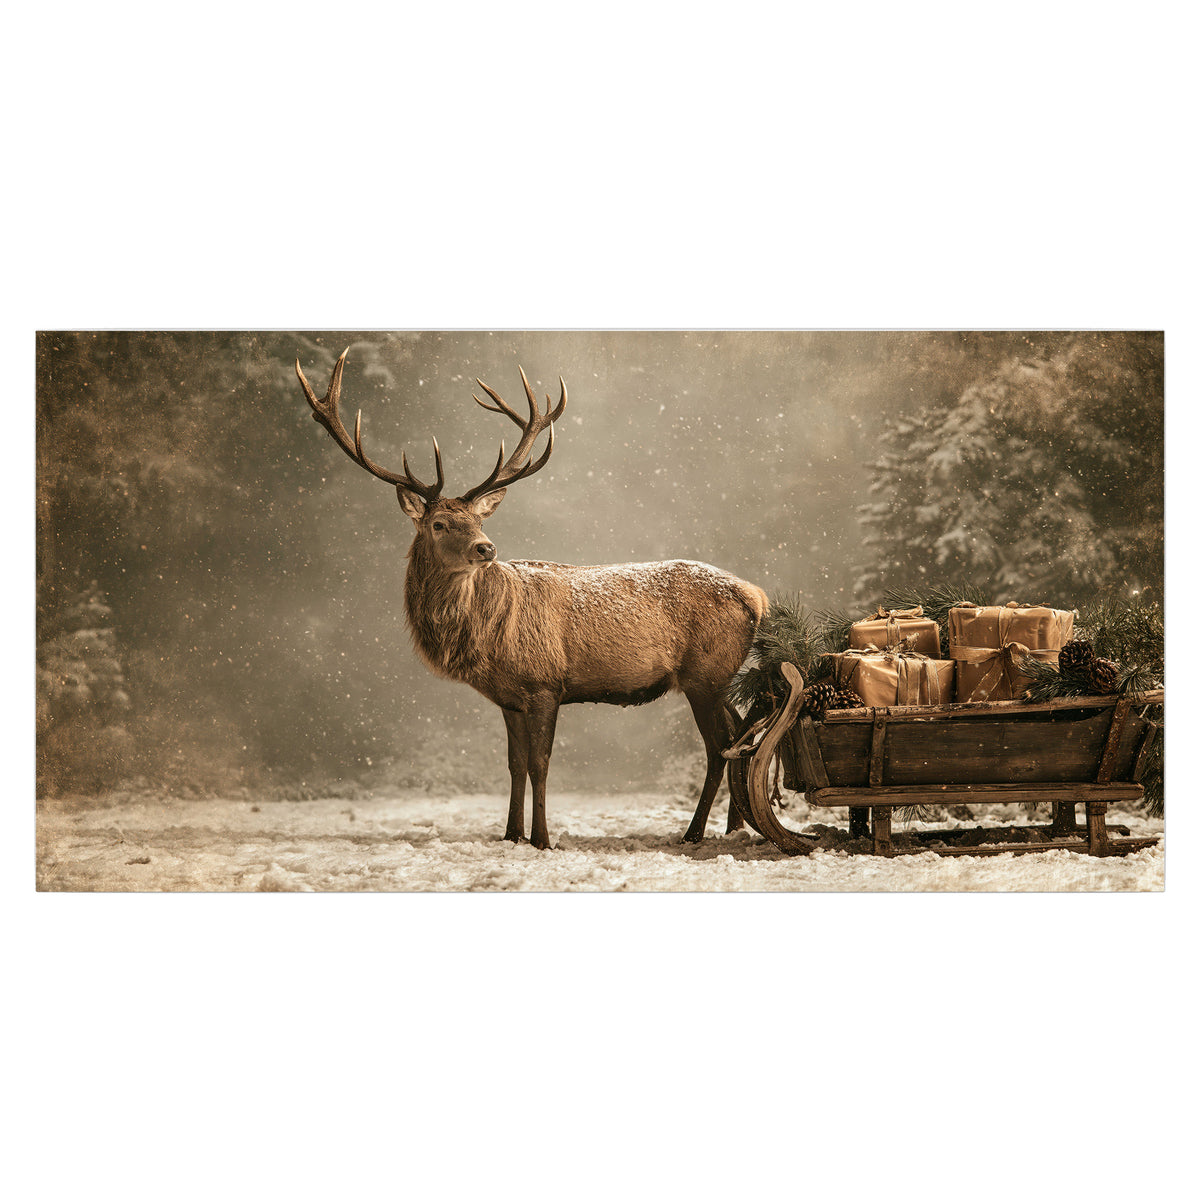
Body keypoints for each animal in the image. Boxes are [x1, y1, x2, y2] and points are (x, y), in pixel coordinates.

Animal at [295, 350, 769, 850]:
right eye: (439, 524)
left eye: (477, 521)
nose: (486, 548)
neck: (484, 641)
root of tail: (756, 595)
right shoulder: (509, 697)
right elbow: (515, 765)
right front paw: (510, 834)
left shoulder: (545, 684)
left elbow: (541, 764)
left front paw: (542, 838)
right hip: (716, 677)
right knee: (738, 733)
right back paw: (734, 827)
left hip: (705, 673)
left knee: (719, 746)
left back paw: (694, 832)